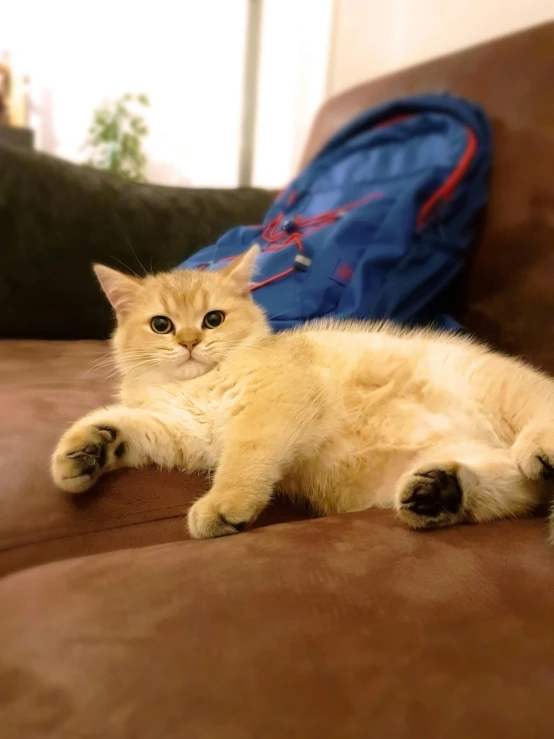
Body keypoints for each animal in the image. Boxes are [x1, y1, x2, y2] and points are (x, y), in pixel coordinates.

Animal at [51, 246, 552, 540]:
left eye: (213, 319)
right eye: (161, 324)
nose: (190, 342)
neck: (196, 385)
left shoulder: (272, 404)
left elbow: (245, 459)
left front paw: (223, 505)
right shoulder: (180, 431)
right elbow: (127, 426)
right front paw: (83, 452)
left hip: (493, 384)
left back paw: (537, 449)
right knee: (515, 487)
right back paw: (440, 492)